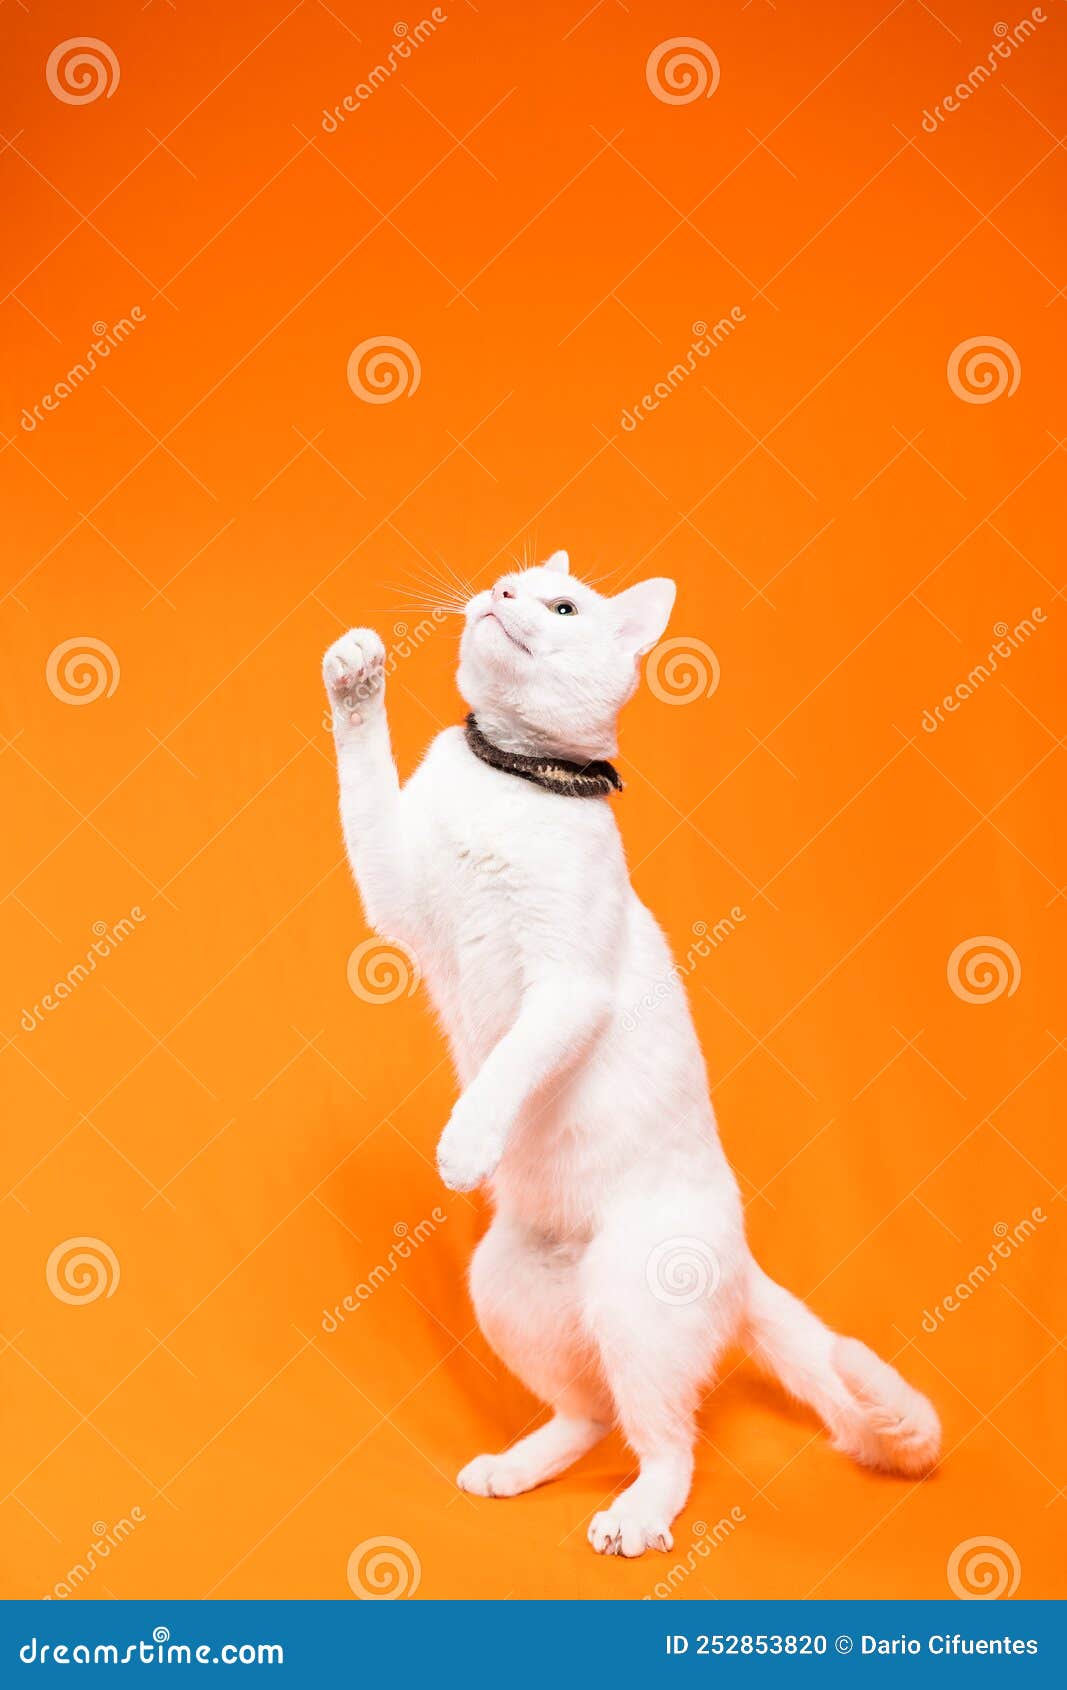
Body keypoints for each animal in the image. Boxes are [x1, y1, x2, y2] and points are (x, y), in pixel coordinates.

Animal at [321, 547, 940, 1548]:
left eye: (561, 606)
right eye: (507, 579)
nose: (500, 595)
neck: (509, 779)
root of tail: (739, 1262)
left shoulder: (567, 987)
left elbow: (508, 1066)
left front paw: (465, 1144)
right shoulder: (396, 896)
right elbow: (362, 776)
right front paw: (354, 669)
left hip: (629, 1302)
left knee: (665, 1441)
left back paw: (634, 1517)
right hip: (505, 1284)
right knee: (590, 1413)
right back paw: (515, 1467)